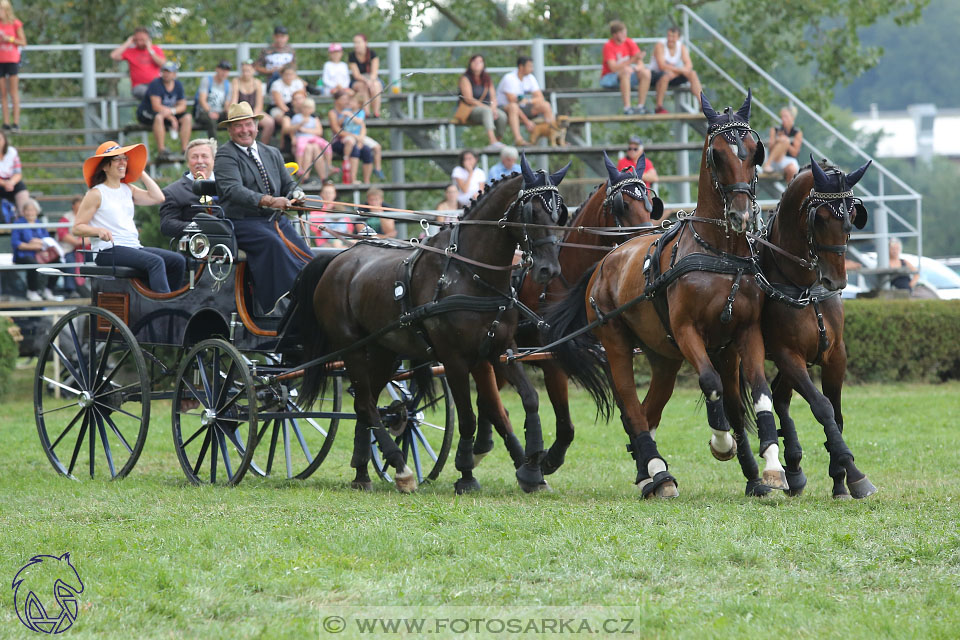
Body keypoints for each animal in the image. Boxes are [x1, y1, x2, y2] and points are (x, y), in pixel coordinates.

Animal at [292, 155, 568, 496]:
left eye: (559, 214)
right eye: (532, 211)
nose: (549, 270)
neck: (471, 274)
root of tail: (337, 259)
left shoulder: (500, 350)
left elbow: (529, 399)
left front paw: (532, 469)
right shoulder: (454, 359)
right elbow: (467, 417)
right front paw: (466, 474)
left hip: (383, 351)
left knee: (364, 403)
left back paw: (362, 472)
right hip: (352, 348)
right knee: (367, 404)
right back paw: (400, 468)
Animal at [474, 152, 668, 478]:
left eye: (649, 204)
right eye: (623, 206)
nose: (647, 244)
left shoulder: (608, 350)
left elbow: (630, 412)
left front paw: (646, 466)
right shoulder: (553, 360)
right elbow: (565, 425)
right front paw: (542, 463)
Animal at [548, 91, 788, 500]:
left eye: (755, 152)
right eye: (716, 155)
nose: (741, 215)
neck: (720, 254)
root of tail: (605, 261)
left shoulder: (745, 333)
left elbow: (758, 393)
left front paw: (770, 469)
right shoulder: (687, 330)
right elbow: (709, 382)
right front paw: (721, 442)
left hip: (663, 357)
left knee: (648, 410)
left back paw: (649, 470)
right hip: (616, 343)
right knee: (631, 406)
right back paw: (658, 473)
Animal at [724, 158, 872, 498]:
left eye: (853, 215)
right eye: (821, 217)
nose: (836, 280)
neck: (804, 287)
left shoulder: (835, 355)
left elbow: (836, 412)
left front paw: (840, 478)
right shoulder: (787, 354)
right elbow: (822, 407)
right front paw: (853, 472)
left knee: (780, 397)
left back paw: (793, 466)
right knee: (738, 409)